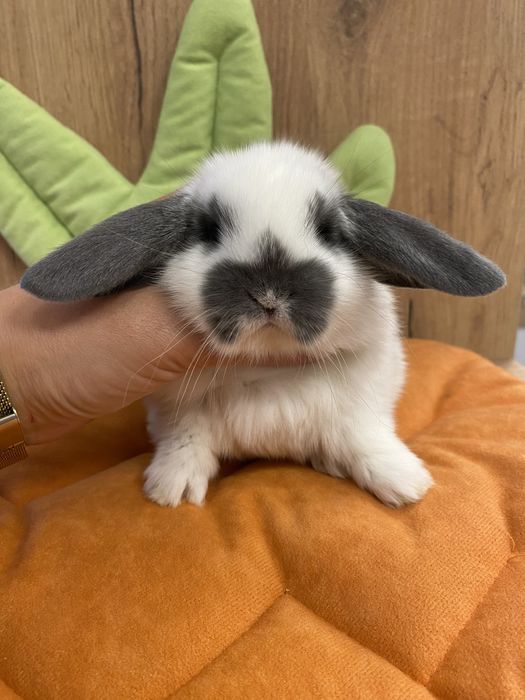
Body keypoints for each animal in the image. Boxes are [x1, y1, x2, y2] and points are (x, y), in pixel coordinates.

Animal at [22, 141, 506, 508]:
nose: (269, 292)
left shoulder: (366, 392)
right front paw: (170, 488)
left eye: (329, 231)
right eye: (207, 229)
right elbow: (185, 440)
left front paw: (405, 483)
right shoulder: (174, 407)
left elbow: (364, 434)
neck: (269, 366)